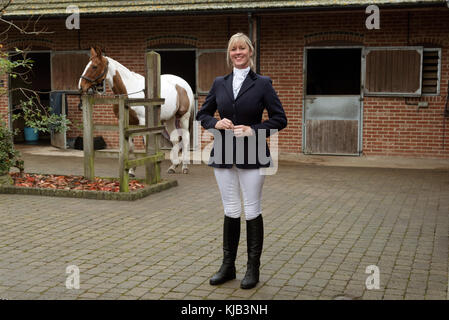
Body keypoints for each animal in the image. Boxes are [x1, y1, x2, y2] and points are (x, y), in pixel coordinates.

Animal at [79, 47, 194, 175]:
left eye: (94, 66)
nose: (81, 86)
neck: (129, 91)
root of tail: (183, 84)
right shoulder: (128, 123)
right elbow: (130, 147)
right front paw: (131, 170)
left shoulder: (143, 123)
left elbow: (146, 146)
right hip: (170, 118)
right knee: (175, 139)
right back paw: (173, 167)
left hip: (184, 117)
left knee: (185, 139)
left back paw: (184, 167)